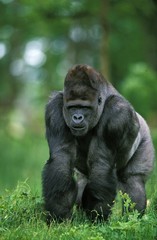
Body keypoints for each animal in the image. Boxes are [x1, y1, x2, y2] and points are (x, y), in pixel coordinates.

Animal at [42, 64, 155, 223]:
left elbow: (102, 162)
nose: (77, 117)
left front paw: (97, 216)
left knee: (132, 181)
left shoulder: (117, 113)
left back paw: (132, 219)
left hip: (145, 138)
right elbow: (61, 159)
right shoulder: (54, 109)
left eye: (85, 107)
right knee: (82, 183)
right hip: (83, 174)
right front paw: (59, 214)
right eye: (72, 107)